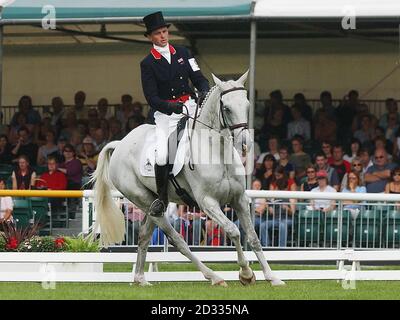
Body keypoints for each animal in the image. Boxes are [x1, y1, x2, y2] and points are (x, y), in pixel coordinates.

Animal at [90, 71, 284, 286]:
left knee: (143, 236)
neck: (218, 154)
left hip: (154, 204)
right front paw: (246, 273)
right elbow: (233, 230)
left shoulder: (239, 199)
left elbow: (253, 236)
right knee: (178, 240)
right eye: (226, 108)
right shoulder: (208, 203)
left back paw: (141, 279)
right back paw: (214, 277)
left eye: (248, 105)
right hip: (142, 199)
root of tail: (120, 144)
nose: (245, 143)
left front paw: (272, 277)